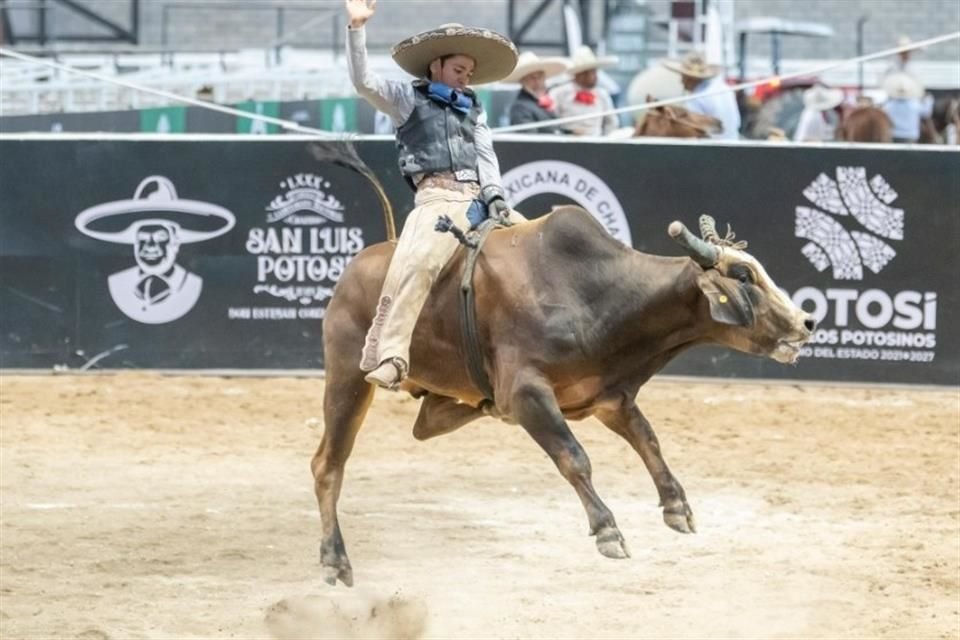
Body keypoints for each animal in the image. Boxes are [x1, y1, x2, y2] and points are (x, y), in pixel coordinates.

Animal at [312, 209, 812, 584]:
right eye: (744, 275)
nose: (806, 322)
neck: (595, 294)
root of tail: (356, 268)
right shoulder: (527, 393)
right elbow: (574, 457)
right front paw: (608, 529)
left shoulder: (609, 396)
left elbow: (648, 440)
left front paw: (677, 506)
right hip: (348, 377)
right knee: (327, 466)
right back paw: (334, 559)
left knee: (424, 422)